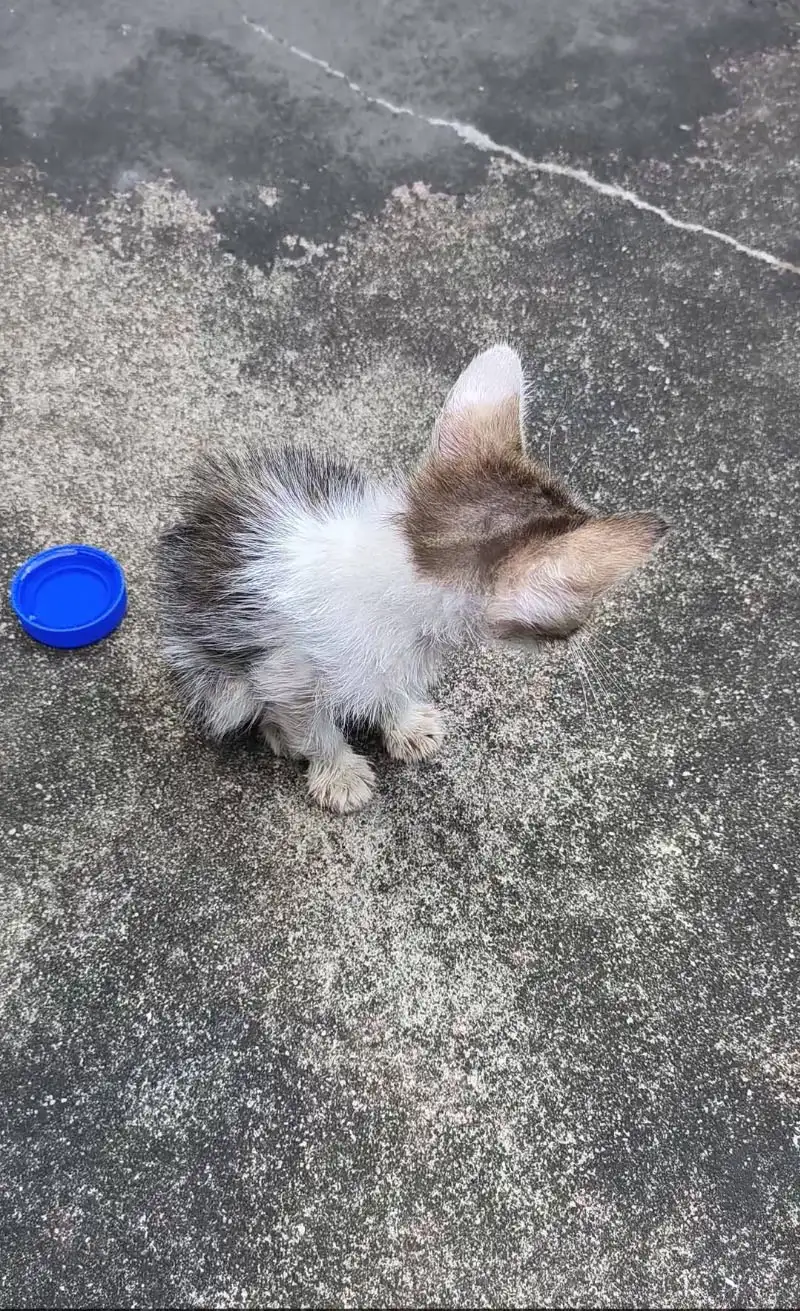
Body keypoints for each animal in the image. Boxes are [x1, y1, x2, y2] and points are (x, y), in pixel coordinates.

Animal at [157, 346, 666, 807]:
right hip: (215, 681)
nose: (588, 634)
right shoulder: (288, 669)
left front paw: (403, 723)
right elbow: (311, 723)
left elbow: (391, 685)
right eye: (584, 605)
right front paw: (337, 771)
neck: (400, 577)